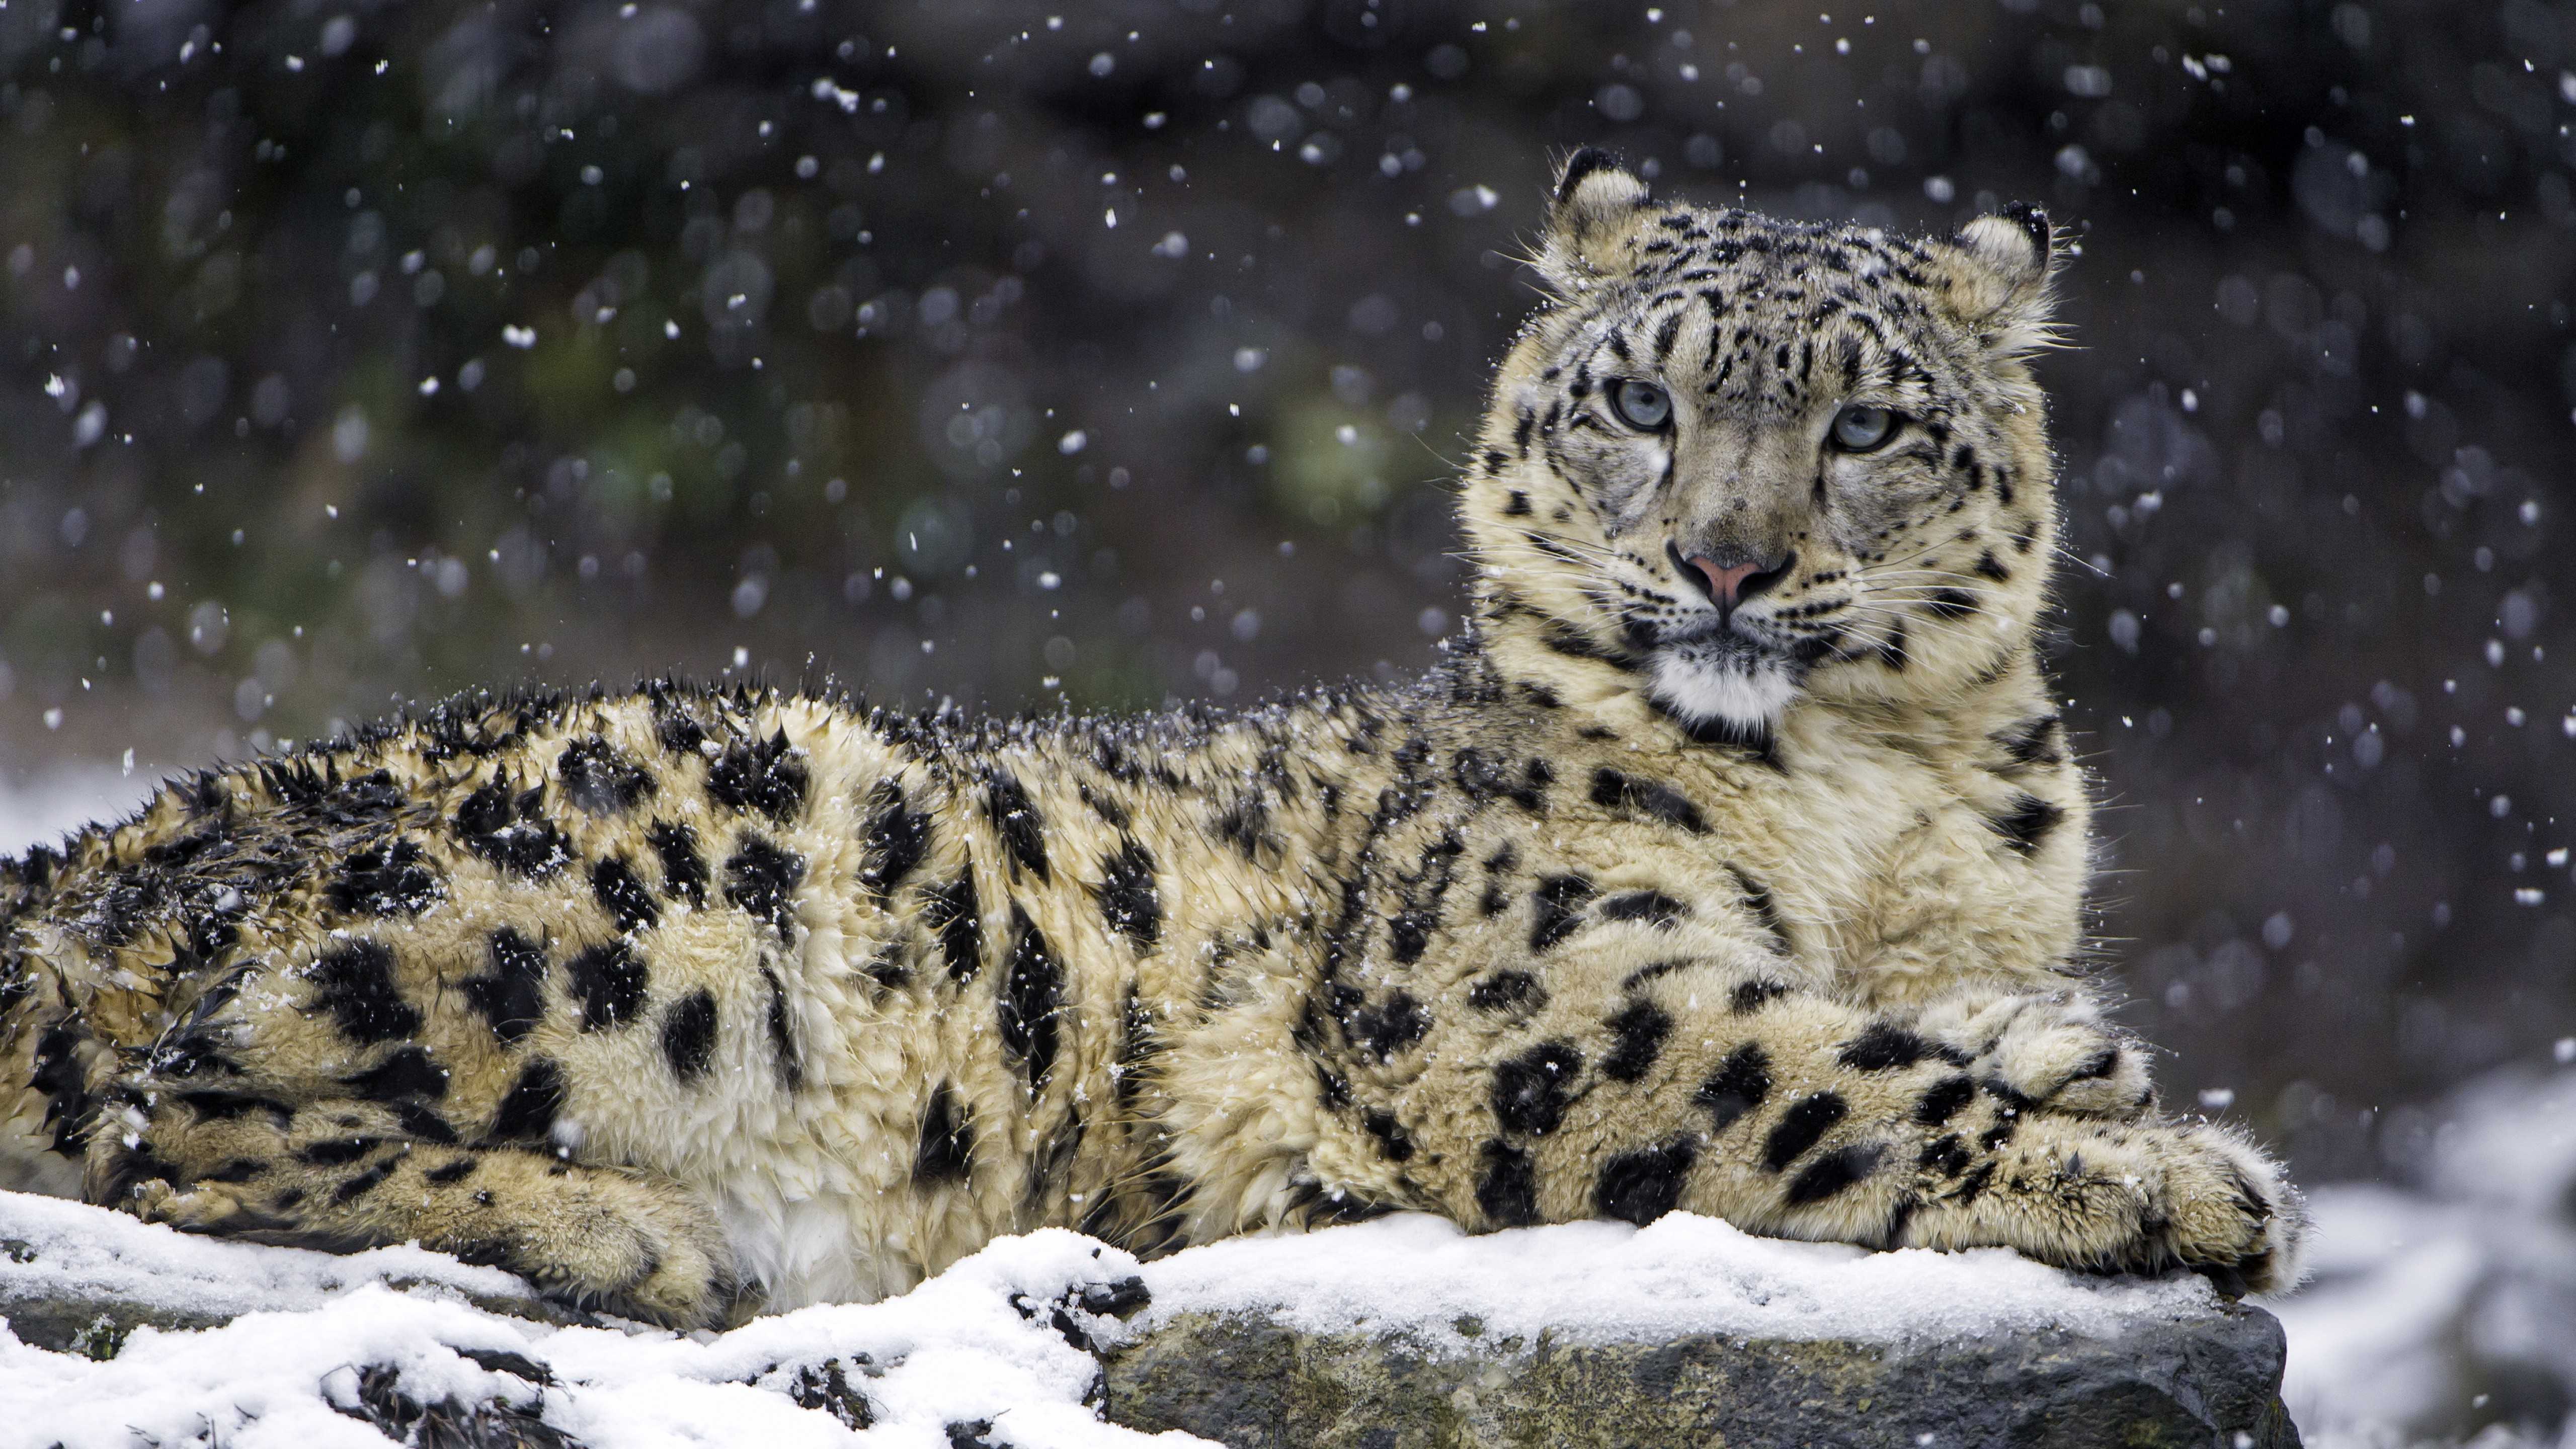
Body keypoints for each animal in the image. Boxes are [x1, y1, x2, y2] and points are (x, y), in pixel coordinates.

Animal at [0, 155, 2298, 1320]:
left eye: (1868, 424)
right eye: (1640, 401)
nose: (1726, 565)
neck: (1872, 799)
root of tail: (93, 853)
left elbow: (1910, 1017)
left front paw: (2075, 1051)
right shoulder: (1518, 984)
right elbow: (1811, 1075)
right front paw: (2163, 1175)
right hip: (680, 863)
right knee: (163, 1114)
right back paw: (621, 1228)